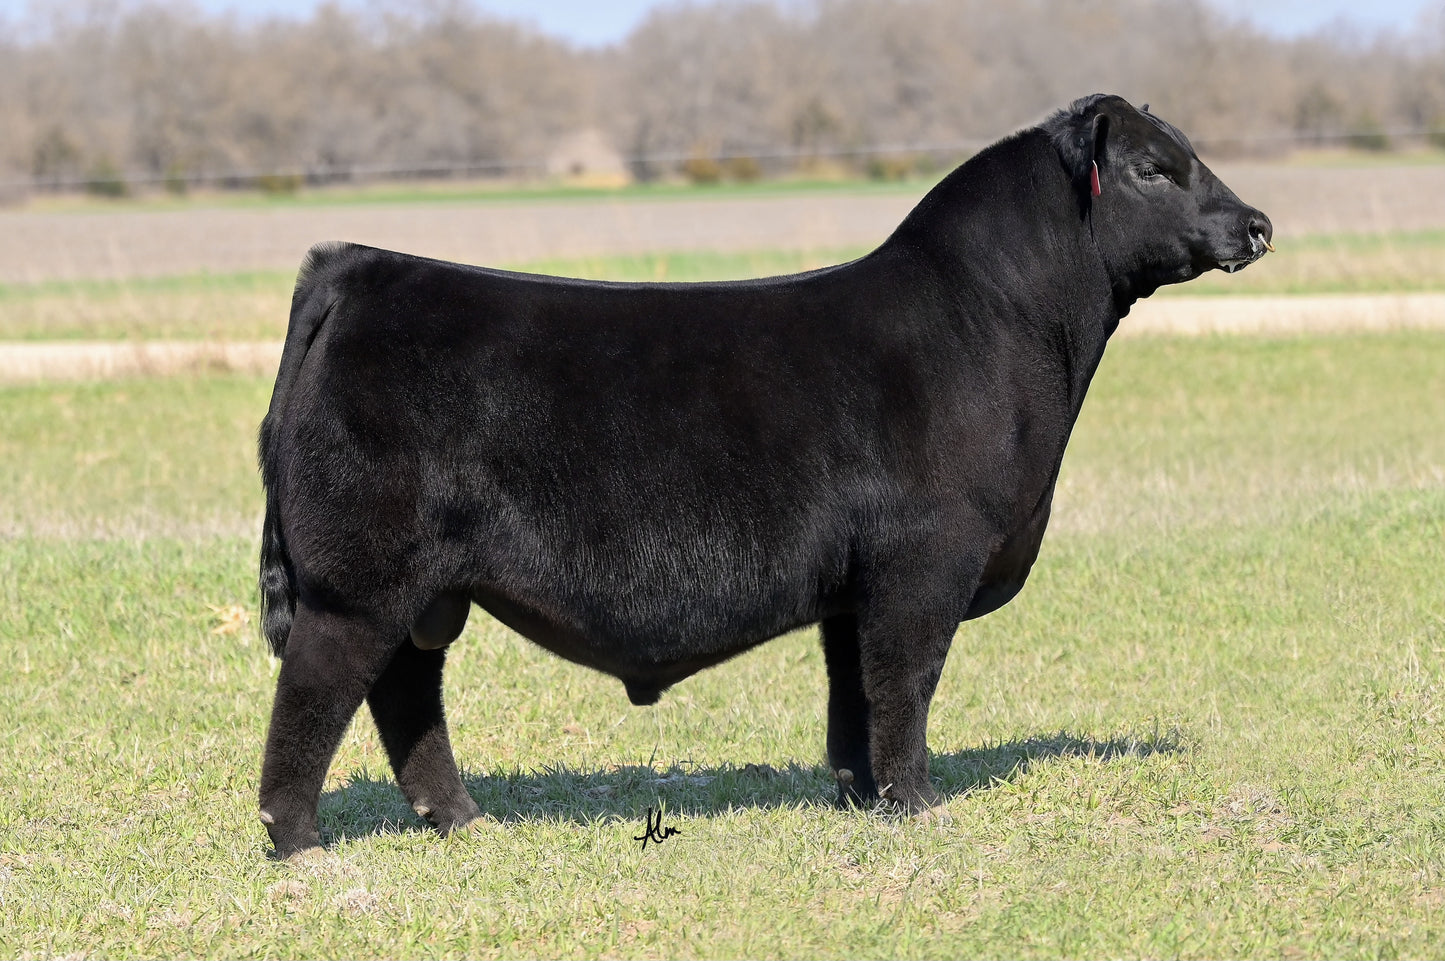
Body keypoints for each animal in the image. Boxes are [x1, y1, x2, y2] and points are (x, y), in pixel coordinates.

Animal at [255, 94, 1272, 858]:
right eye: (1153, 168)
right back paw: (300, 842)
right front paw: (918, 803)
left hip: (425, 590)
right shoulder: (924, 560)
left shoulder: (855, 584)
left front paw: (862, 797)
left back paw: (464, 821)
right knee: (318, 690)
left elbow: (851, 693)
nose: (1256, 224)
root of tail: (357, 265)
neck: (996, 327)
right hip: (359, 583)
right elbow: (905, 681)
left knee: (405, 693)